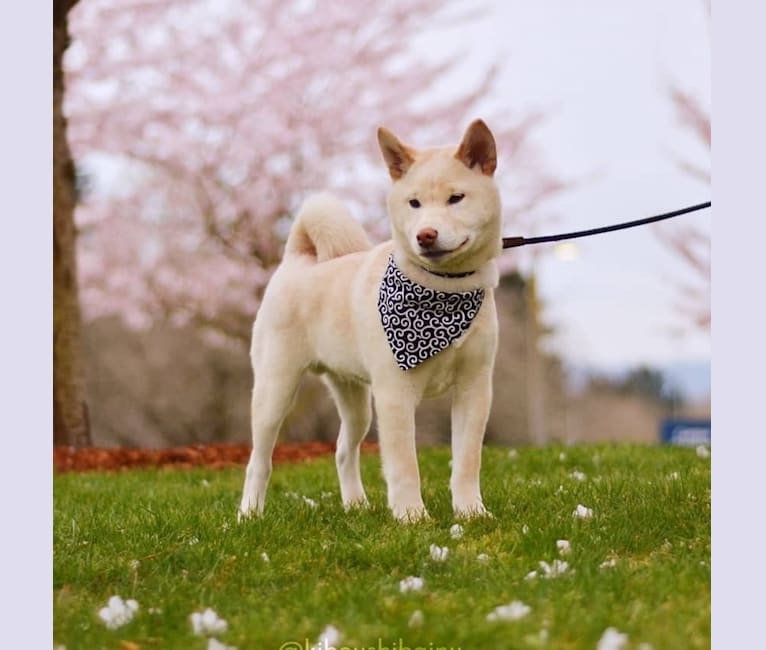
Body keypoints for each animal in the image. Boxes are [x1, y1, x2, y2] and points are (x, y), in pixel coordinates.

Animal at [240, 119, 504, 520]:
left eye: (456, 198)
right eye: (414, 203)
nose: (426, 235)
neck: (444, 290)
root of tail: (296, 261)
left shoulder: (474, 388)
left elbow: (467, 461)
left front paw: (471, 512)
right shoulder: (395, 393)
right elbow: (405, 465)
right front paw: (412, 517)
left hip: (356, 402)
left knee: (342, 450)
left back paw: (356, 506)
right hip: (275, 392)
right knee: (259, 461)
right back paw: (249, 515)